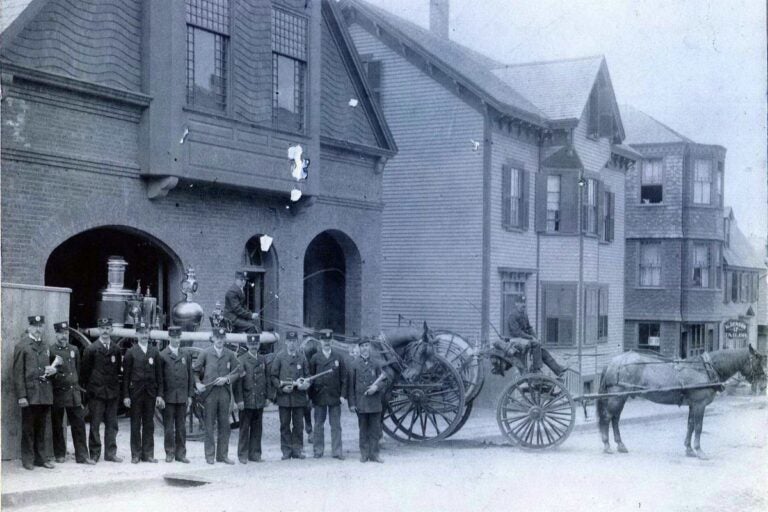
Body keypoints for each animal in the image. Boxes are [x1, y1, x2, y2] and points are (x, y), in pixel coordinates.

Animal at [596, 344, 764, 460]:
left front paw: (689, 449)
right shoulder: (699, 405)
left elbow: (690, 425)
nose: (763, 384)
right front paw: (699, 451)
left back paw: (620, 445)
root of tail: (613, 362)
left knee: (615, 419)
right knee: (607, 418)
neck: (705, 369)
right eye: (757, 361)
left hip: (621, 397)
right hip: (617, 397)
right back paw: (606, 445)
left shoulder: (693, 405)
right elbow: (698, 427)